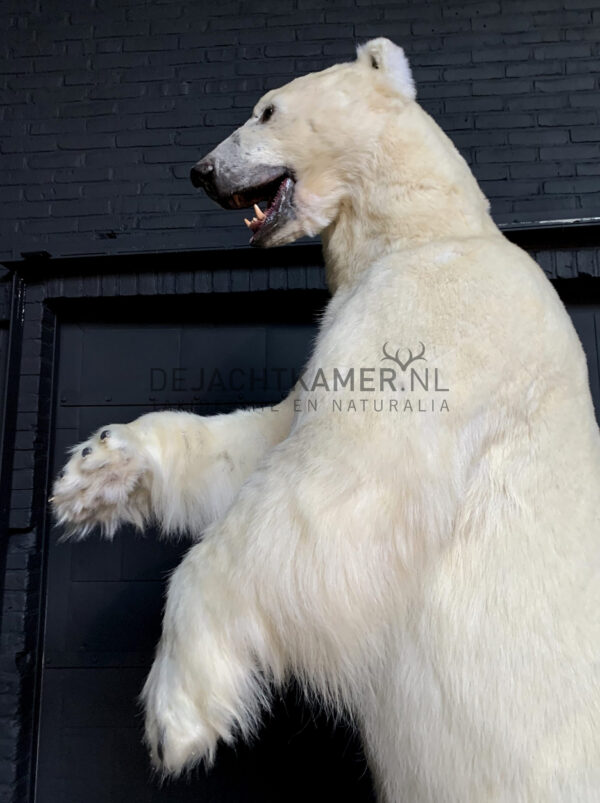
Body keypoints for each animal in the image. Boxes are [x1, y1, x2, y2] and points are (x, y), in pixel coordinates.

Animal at [51, 40, 600, 803]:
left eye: (266, 109)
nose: (201, 170)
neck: (420, 227)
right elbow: (260, 440)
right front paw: (98, 470)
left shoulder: (437, 315)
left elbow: (332, 499)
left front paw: (177, 713)